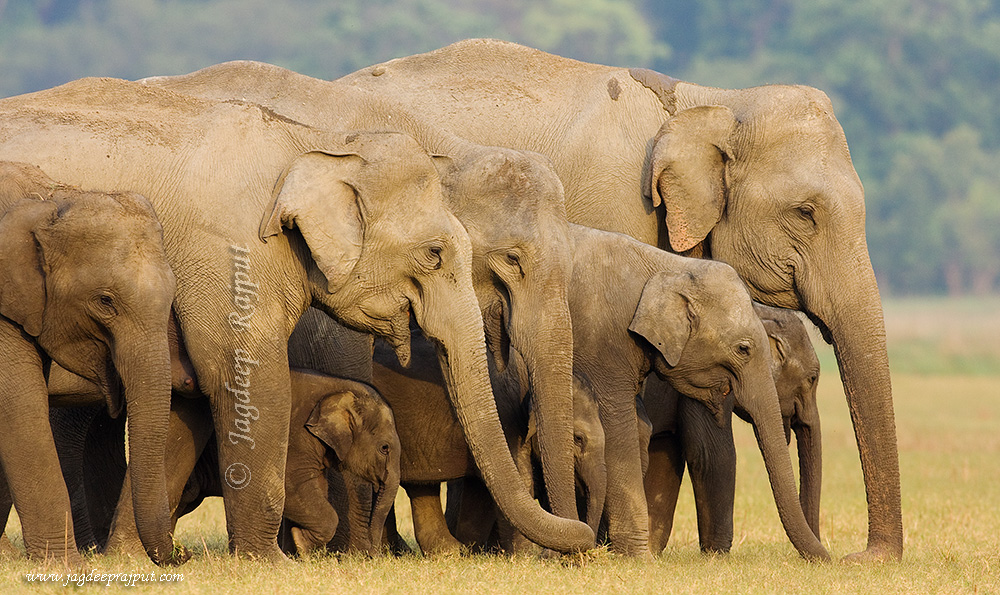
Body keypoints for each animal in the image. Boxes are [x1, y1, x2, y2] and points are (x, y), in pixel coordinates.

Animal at [643, 303, 822, 554]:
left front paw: (651, 551)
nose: (829, 557)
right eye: (812, 378)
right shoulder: (706, 376)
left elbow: (667, 453)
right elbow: (712, 452)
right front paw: (716, 555)